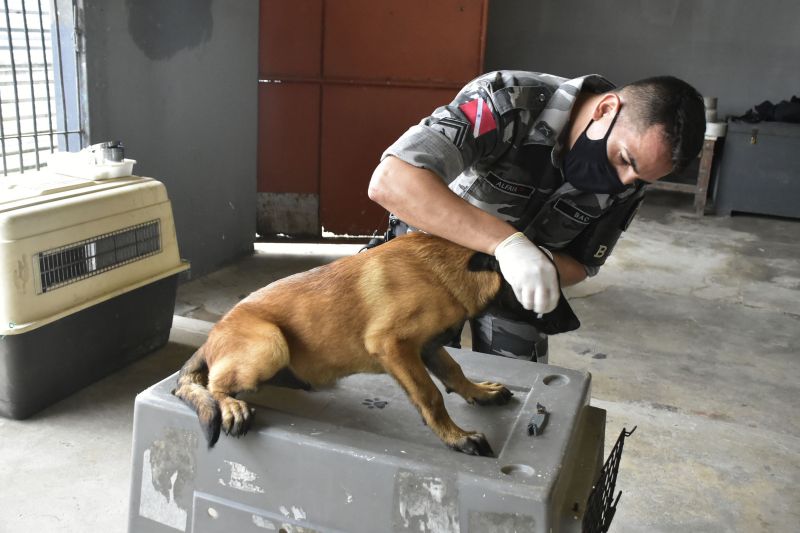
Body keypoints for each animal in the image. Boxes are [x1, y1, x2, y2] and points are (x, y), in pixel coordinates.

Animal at [173, 231, 580, 456]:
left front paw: (480, 392)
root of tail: (210, 338)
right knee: (209, 385)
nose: (574, 323)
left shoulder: (427, 347)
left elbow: (454, 371)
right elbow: (431, 396)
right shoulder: (393, 346)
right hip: (270, 342)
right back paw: (230, 406)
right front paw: (457, 437)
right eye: (546, 287)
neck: (447, 272)